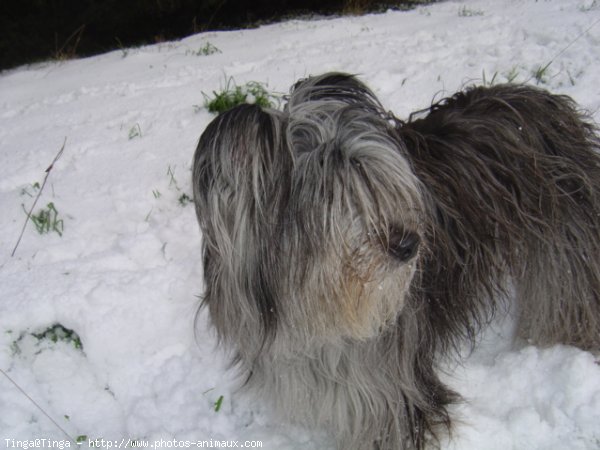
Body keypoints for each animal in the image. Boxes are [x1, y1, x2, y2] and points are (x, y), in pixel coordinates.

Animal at [193, 72, 600, 448]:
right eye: (335, 198)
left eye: (376, 183)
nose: (410, 245)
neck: (315, 310)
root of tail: (547, 101)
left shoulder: (393, 391)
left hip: (566, 244)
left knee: (572, 300)